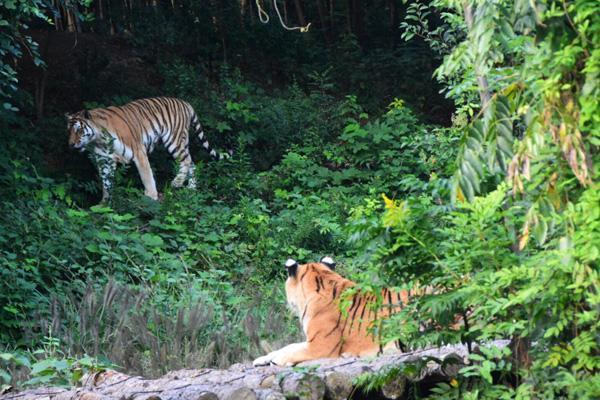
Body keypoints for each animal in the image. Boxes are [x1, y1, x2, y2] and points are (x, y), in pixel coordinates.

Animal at [252, 258, 426, 368]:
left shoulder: (320, 346)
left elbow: (293, 350)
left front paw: (277, 360)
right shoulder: (311, 341)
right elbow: (289, 346)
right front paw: (262, 359)